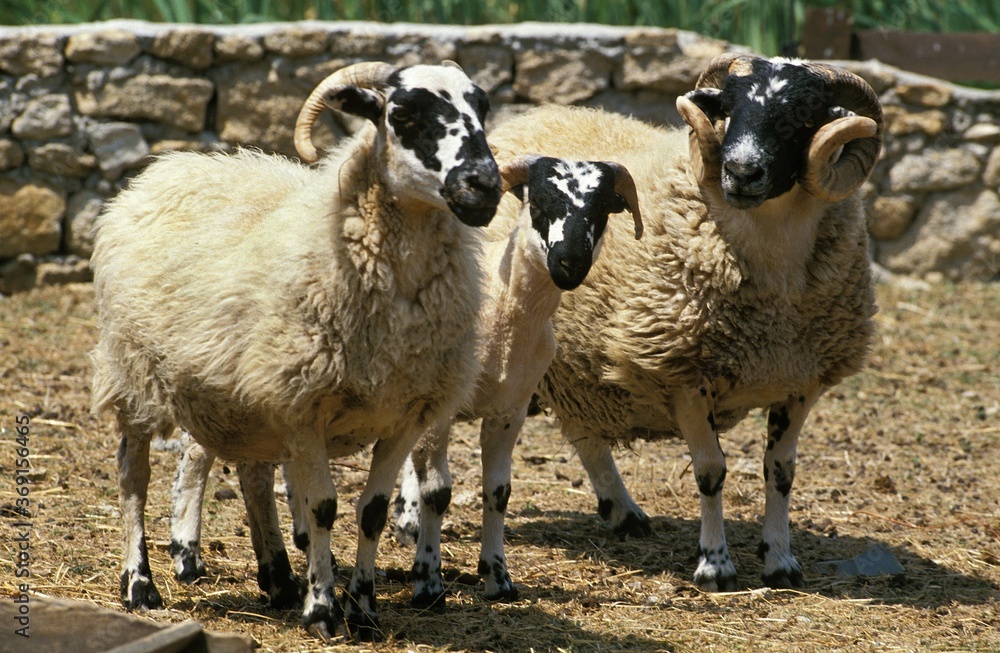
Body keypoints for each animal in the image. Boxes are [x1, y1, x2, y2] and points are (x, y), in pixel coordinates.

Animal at [90, 60, 502, 641]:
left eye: (482, 109)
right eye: (402, 114)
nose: (484, 185)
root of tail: (164, 168)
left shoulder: (403, 414)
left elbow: (372, 512)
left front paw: (364, 610)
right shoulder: (305, 405)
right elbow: (323, 508)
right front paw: (324, 611)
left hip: (245, 396)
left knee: (254, 475)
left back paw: (279, 578)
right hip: (132, 373)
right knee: (134, 477)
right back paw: (140, 585)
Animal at [392, 154, 643, 607]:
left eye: (601, 211)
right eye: (539, 204)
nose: (569, 262)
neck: (503, 311)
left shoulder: (510, 410)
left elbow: (499, 492)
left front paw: (498, 578)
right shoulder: (442, 411)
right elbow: (437, 493)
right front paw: (428, 582)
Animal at [484, 53, 883, 592]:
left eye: (801, 117)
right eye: (728, 109)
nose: (740, 172)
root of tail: (524, 118)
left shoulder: (801, 381)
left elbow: (780, 472)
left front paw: (781, 560)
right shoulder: (683, 375)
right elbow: (711, 472)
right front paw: (714, 565)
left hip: (569, 365)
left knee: (584, 433)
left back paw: (624, 512)